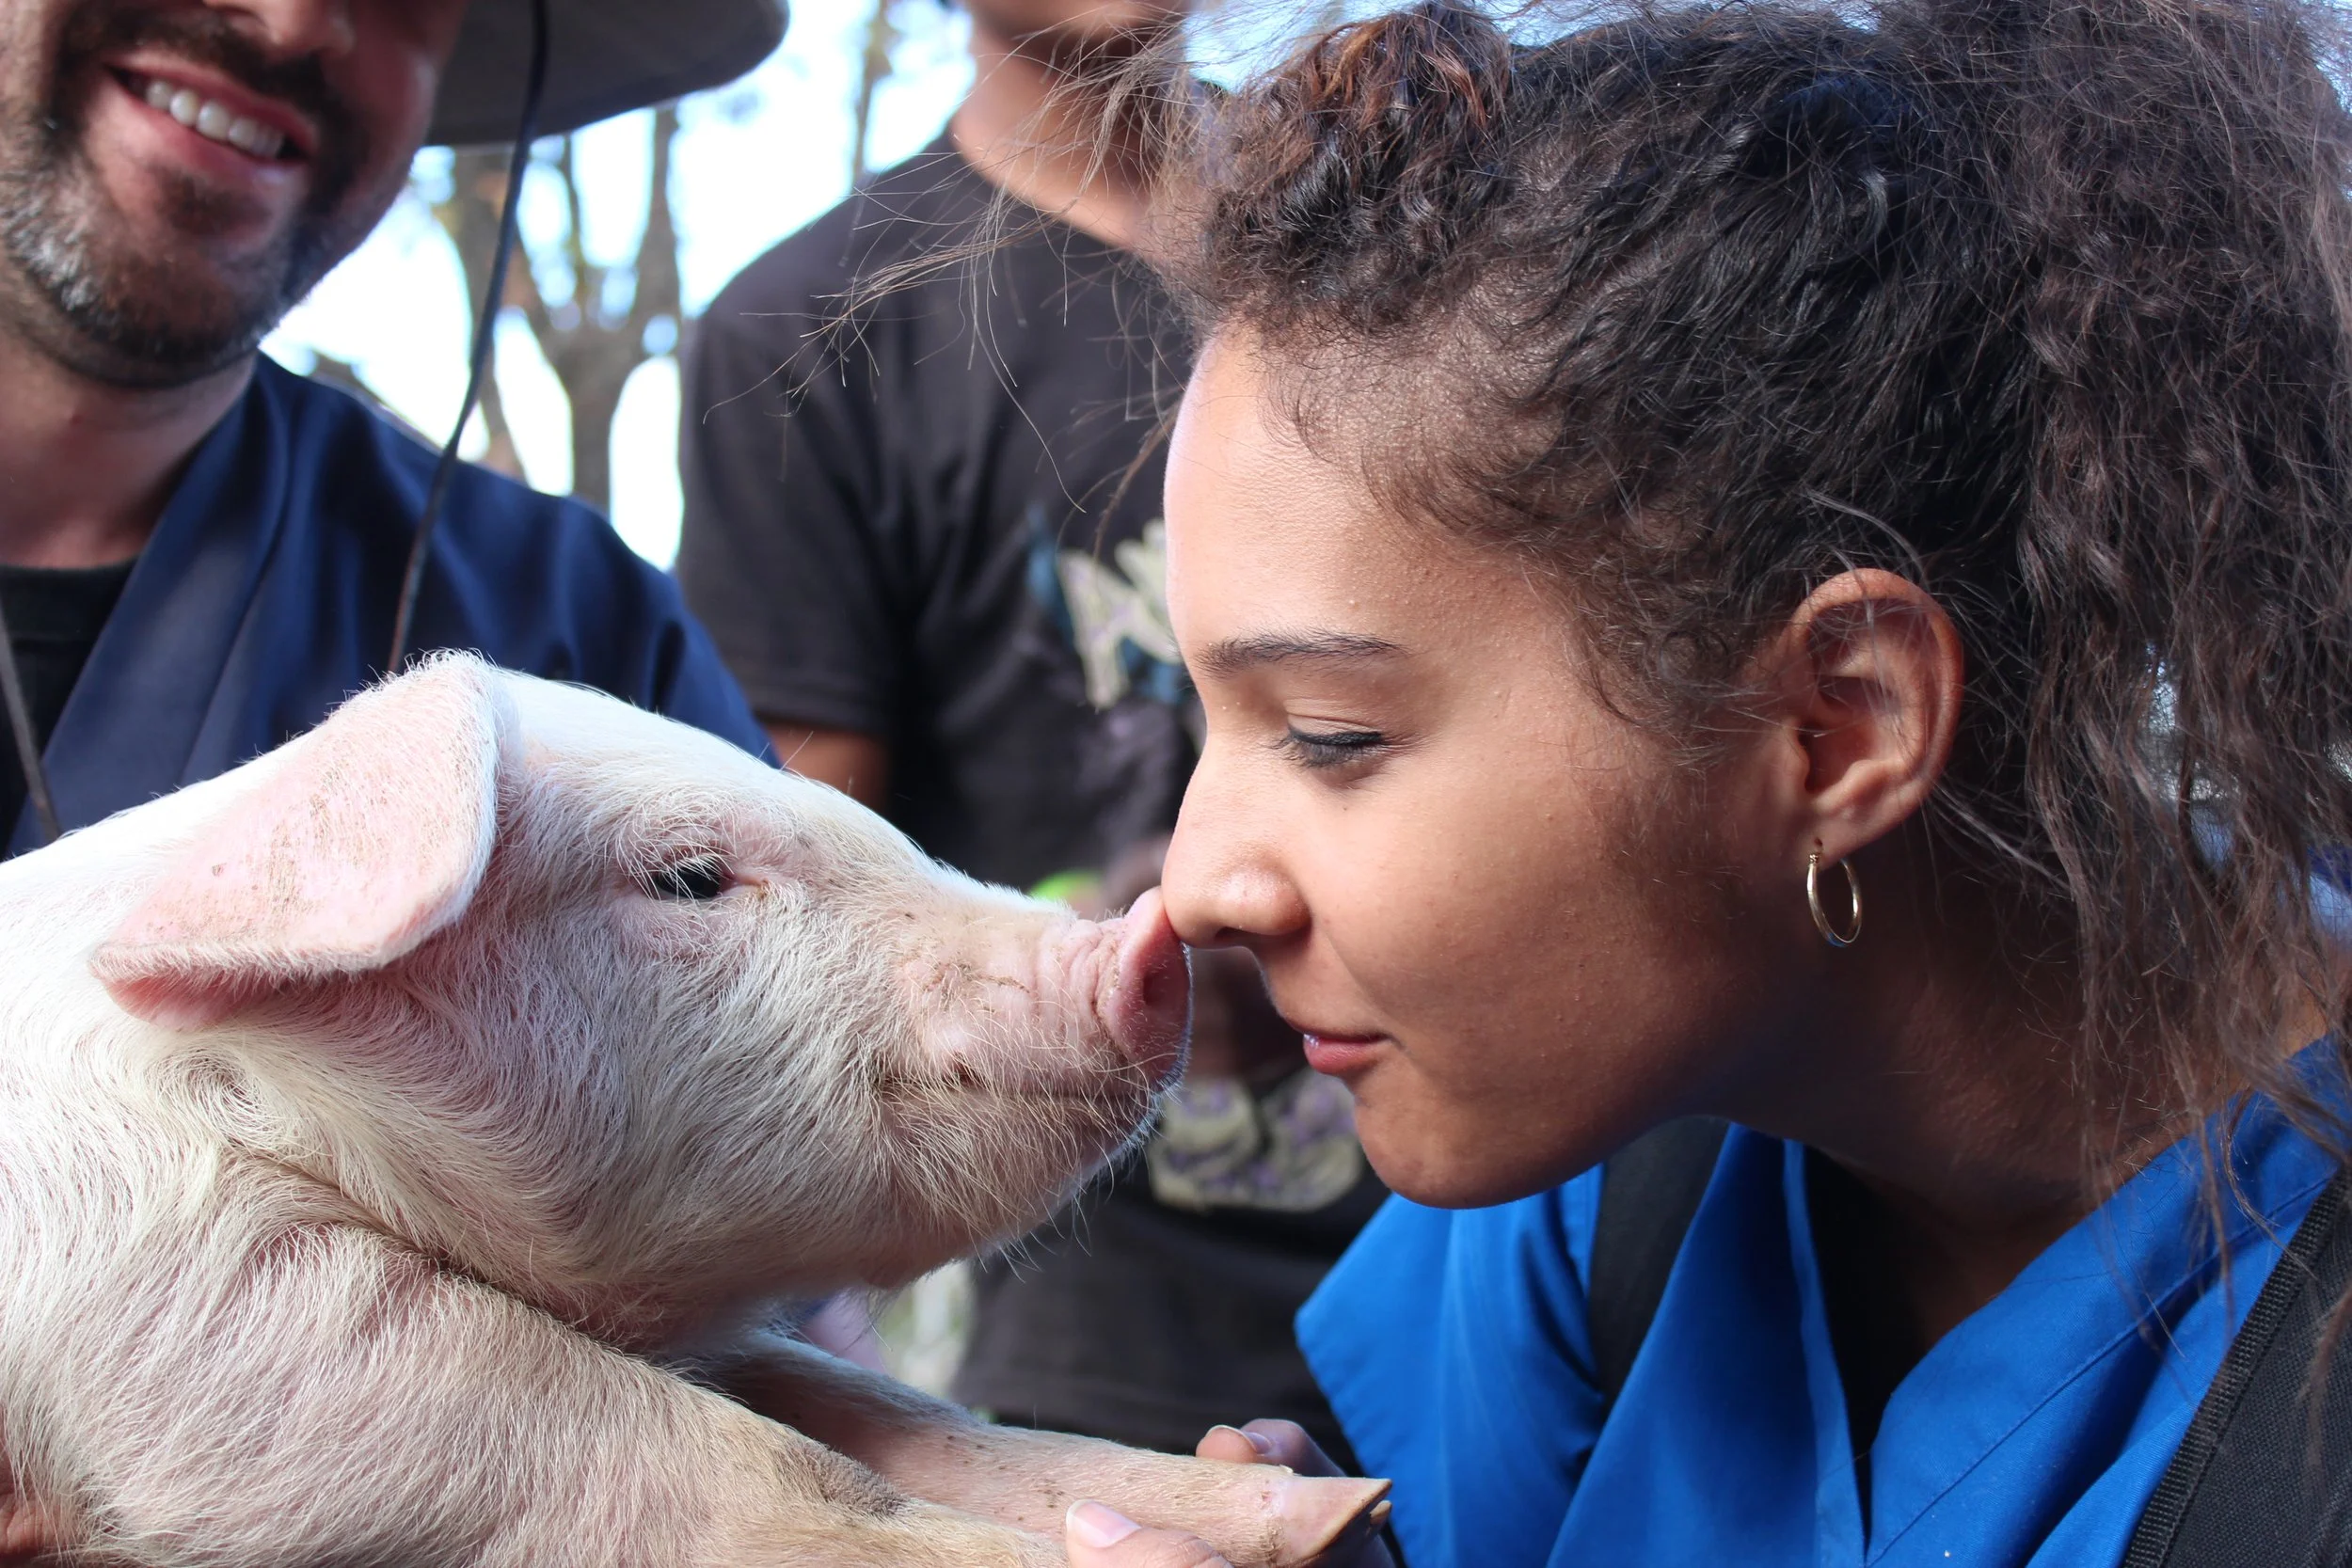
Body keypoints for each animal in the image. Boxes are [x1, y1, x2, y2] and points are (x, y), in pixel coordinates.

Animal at [0, 656, 1387, 1567]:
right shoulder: (185, 1302)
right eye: (689, 876)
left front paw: (1326, 1501)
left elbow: (882, 1409)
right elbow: (698, 1449)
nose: (1147, 935)